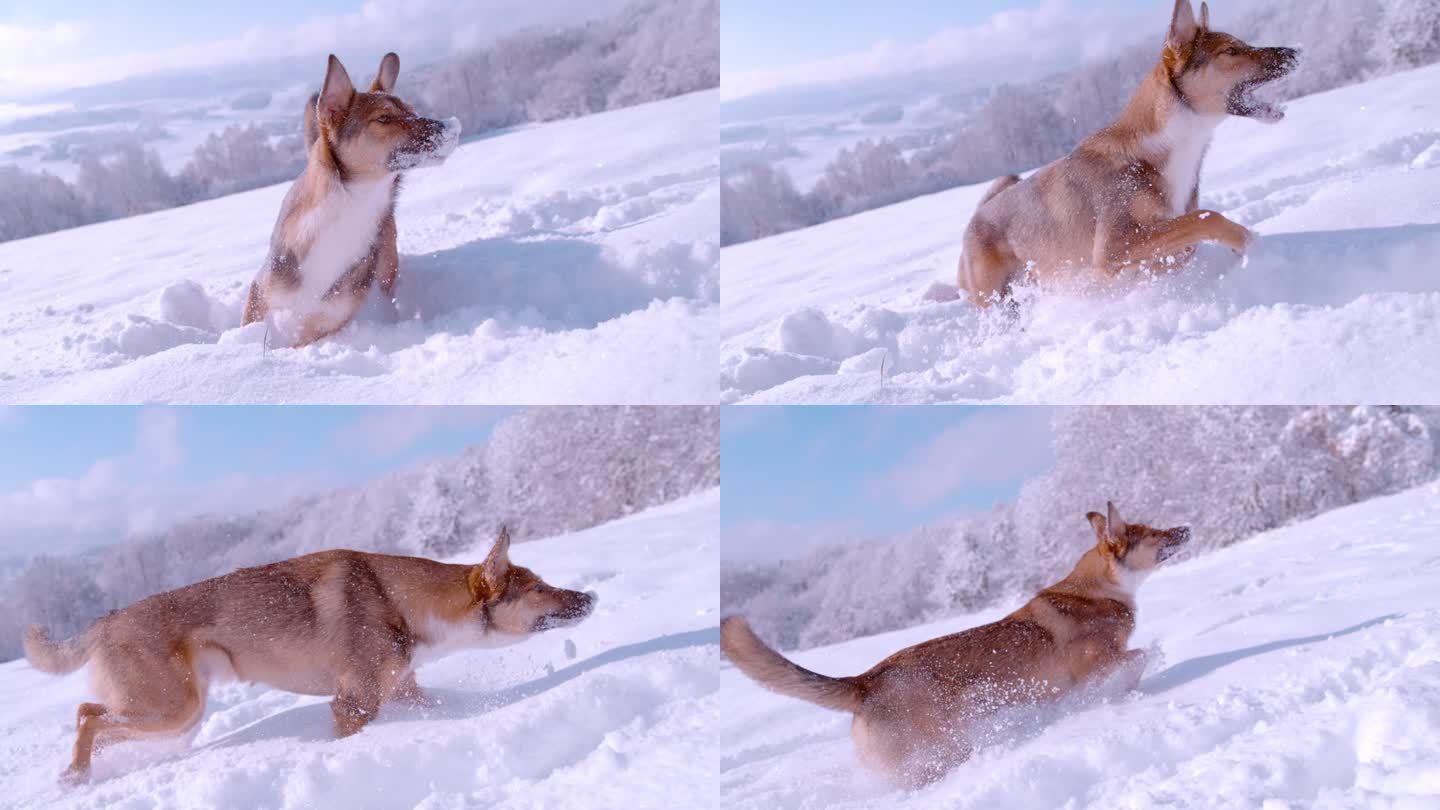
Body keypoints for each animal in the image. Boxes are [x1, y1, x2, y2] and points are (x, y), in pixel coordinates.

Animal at [21, 527, 590, 778]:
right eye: (540, 588)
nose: (589, 598)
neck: (402, 602)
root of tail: (104, 620)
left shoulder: (404, 691)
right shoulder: (353, 705)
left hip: (174, 715)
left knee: (94, 719)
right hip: (173, 709)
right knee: (87, 714)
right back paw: (75, 774)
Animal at [239, 52, 457, 343]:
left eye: (412, 110)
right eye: (384, 118)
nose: (449, 127)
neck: (350, 207)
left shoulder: (329, 318)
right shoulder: (262, 291)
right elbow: (249, 327)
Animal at [720, 501, 1192, 784]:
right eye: (1154, 532)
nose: (1186, 527)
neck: (1097, 589)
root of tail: (865, 681)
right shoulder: (1099, 665)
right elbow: (1138, 658)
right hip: (937, 751)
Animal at [950, 0, 1301, 302]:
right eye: (1231, 50)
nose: (1295, 51)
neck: (1169, 146)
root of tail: (976, 217)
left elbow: (1187, 239)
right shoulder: (1113, 248)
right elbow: (1208, 218)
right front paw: (1251, 246)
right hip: (997, 300)